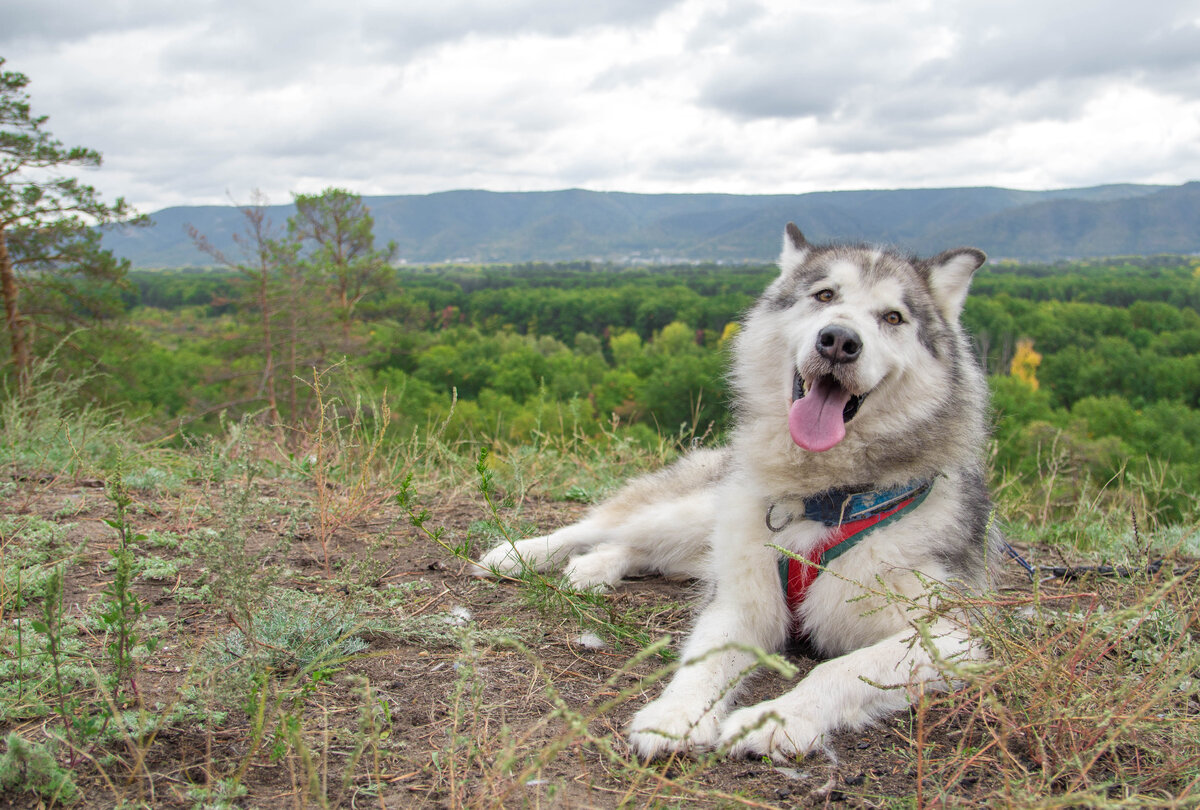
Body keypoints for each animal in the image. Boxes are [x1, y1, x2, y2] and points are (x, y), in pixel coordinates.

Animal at [472, 224, 998, 763]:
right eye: (825, 296)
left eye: (893, 317)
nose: (838, 340)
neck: (824, 499)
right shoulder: (741, 602)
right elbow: (704, 659)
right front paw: (675, 716)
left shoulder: (954, 638)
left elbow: (842, 668)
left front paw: (780, 720)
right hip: (697, 510)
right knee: (604, 526)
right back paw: (520, 555)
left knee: (644, 550)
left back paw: (595, 567)